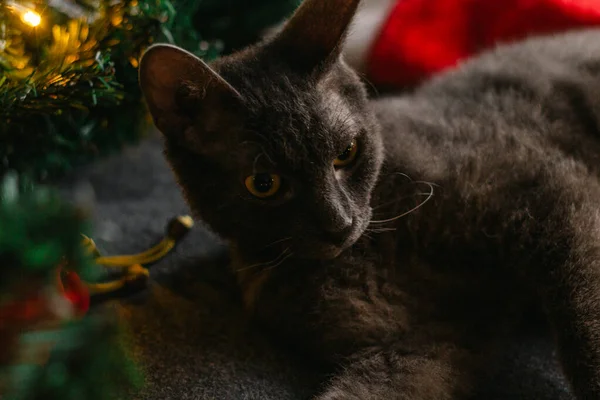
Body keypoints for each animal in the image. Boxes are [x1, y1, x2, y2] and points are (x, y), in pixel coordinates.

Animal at [138, 0, 600, 396]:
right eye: (264, 184)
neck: (374, 249)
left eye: (346, 152)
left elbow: (583, 310)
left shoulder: (549, 194)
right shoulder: (420, 341)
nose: (339, 223)